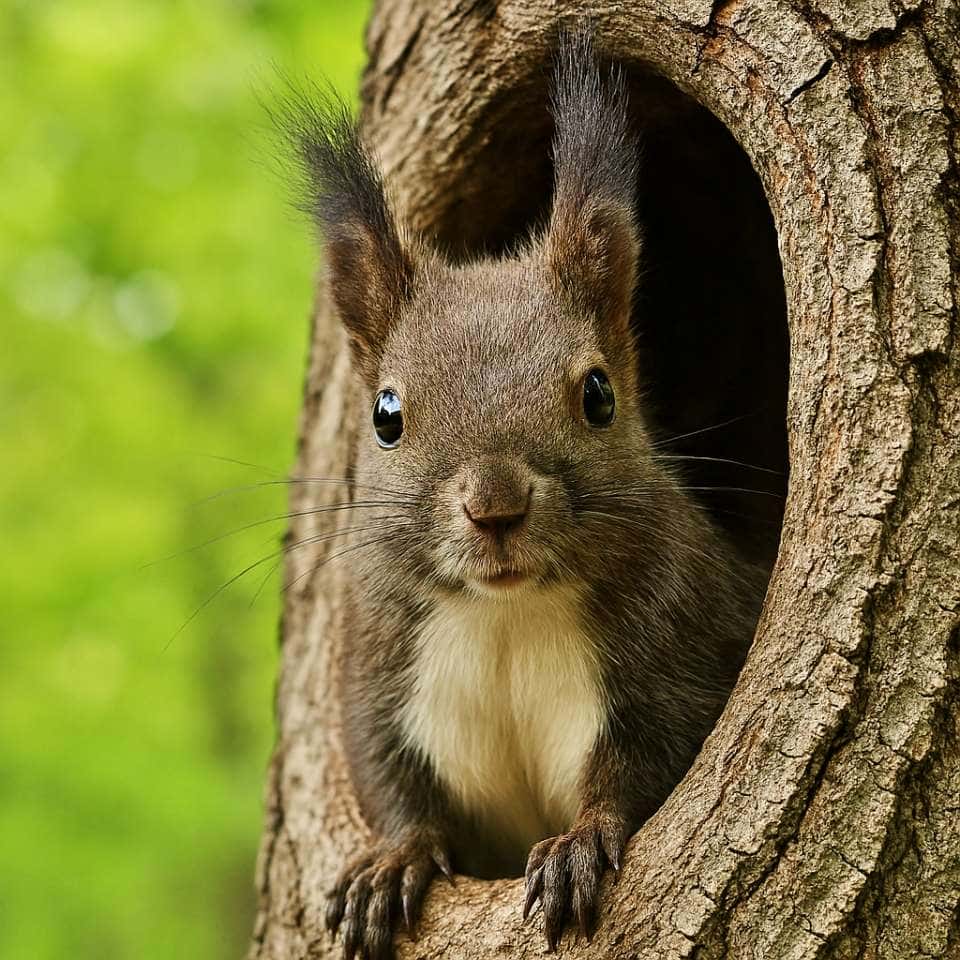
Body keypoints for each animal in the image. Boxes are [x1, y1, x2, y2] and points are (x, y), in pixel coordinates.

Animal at [282, 33, 768, 960]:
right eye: (386, 416)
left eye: (599, 395)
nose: (495, 506)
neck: (506, 615)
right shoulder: (383, 666)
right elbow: (391, 780)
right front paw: (392, 861)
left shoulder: (685, 643)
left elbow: (646, 770)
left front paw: (579, 844)